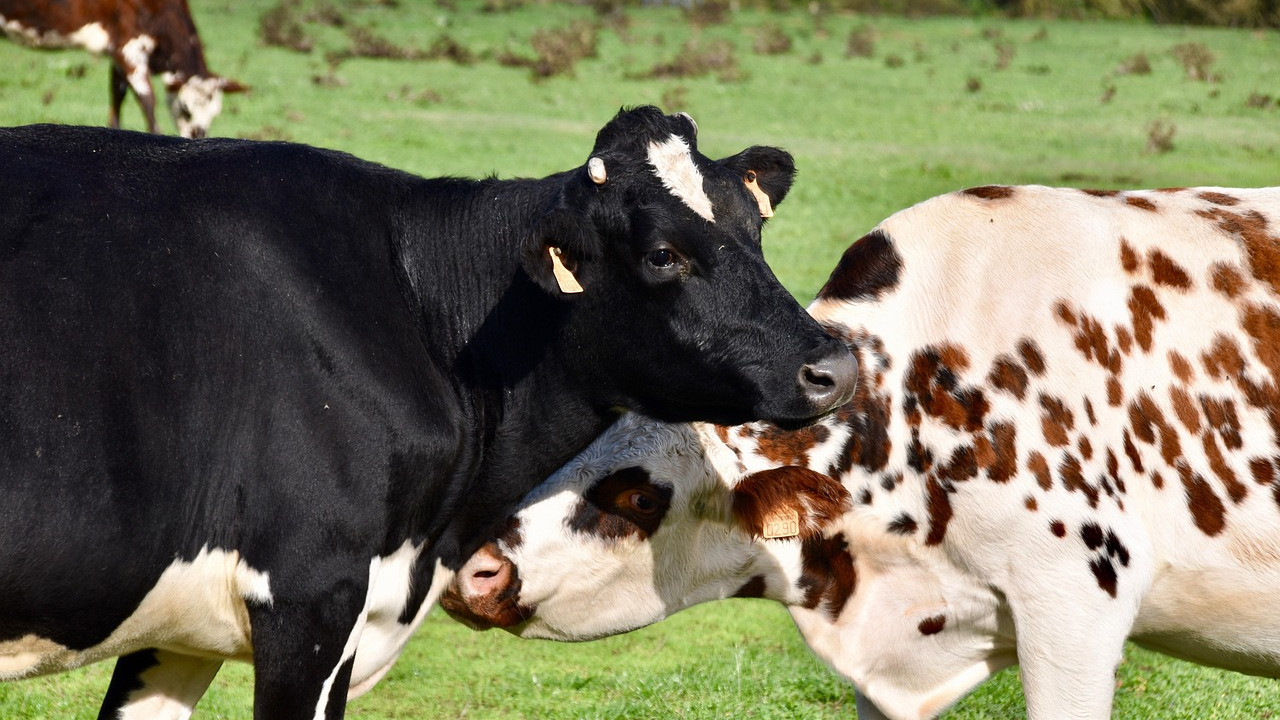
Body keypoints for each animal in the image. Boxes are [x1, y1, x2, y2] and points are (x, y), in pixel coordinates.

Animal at [0, 0, 246, 138]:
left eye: (215, 113)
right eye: (186, 109)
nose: (197, 136)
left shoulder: (117, 51)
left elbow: (117, 96)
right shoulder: (129, 45)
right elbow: (147, 101)